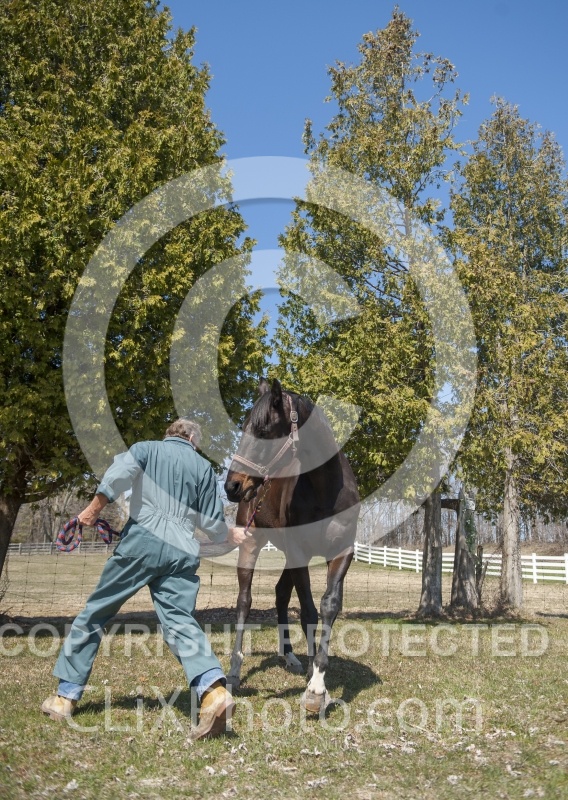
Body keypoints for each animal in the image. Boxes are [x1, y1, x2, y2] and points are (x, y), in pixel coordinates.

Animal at [224, 378, 360, 713]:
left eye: (263, 431)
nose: (232, 486)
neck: (326, 491)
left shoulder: (341, 554)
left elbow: (328, 605)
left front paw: (316, 679)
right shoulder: (300, 554)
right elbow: (309, 610)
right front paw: (314, 686)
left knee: (281, 594)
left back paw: (290, 657)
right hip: (252, 545)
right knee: (244, 601)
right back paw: (234, 670)